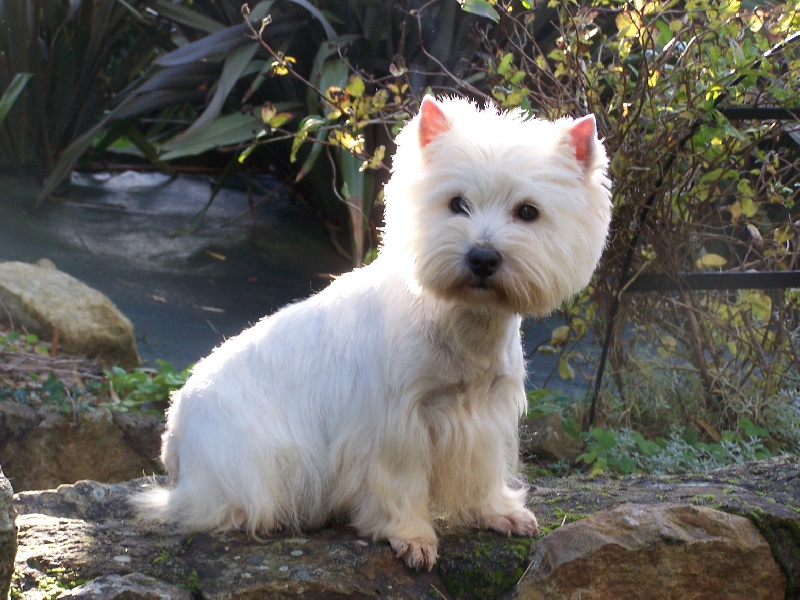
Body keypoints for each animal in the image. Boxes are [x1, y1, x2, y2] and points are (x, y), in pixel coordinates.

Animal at [134, 96, 612, 568]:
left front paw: (499, 513)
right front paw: (414, 539)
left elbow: (483, 472)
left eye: (528, 211)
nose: (482, 258)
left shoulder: (486, 411)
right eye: (457, 203)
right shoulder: (396, 421)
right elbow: (400, 483)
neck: (462, 321)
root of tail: (174, 430)